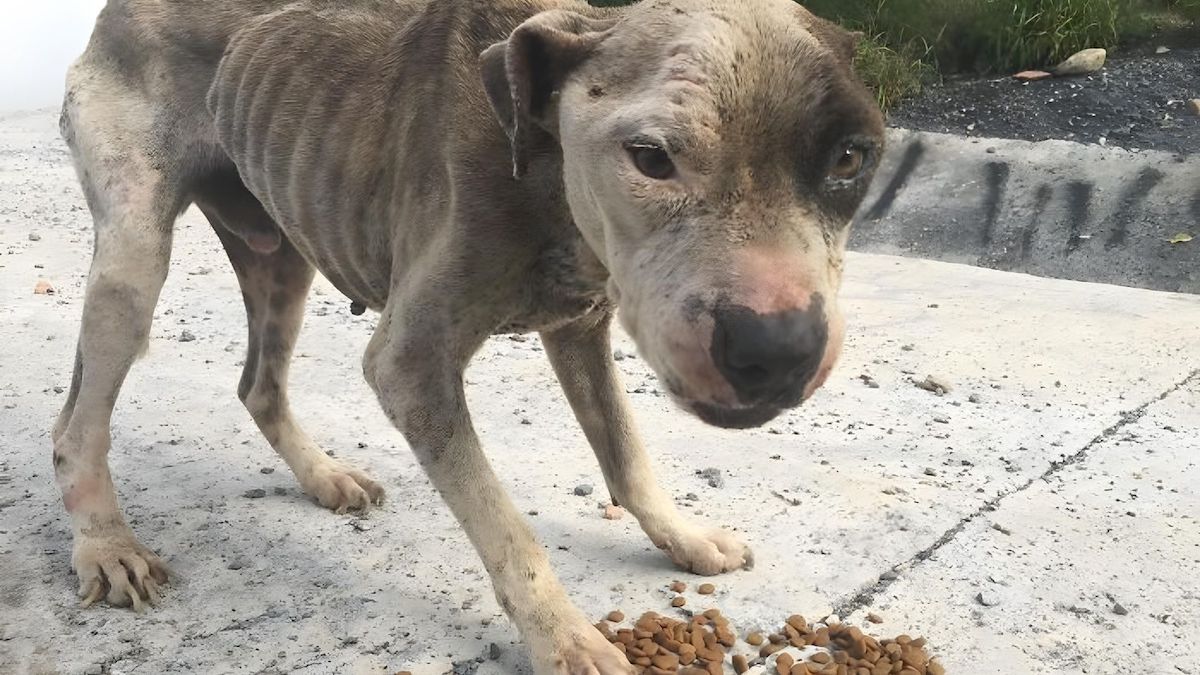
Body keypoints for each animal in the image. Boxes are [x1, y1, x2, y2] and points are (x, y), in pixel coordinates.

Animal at [54, 0, 883, 667]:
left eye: (852, 156)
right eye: (651, 158)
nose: (779, 350)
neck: (537, 154)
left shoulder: (582, 326)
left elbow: (628, 453)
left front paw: (682, 536)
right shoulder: (413, 365)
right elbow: (510, 533)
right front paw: (567, 640)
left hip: (280, 254)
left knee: (259, 384)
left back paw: (323, 476)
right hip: (133, 258)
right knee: (75, 424)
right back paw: (107, 543)